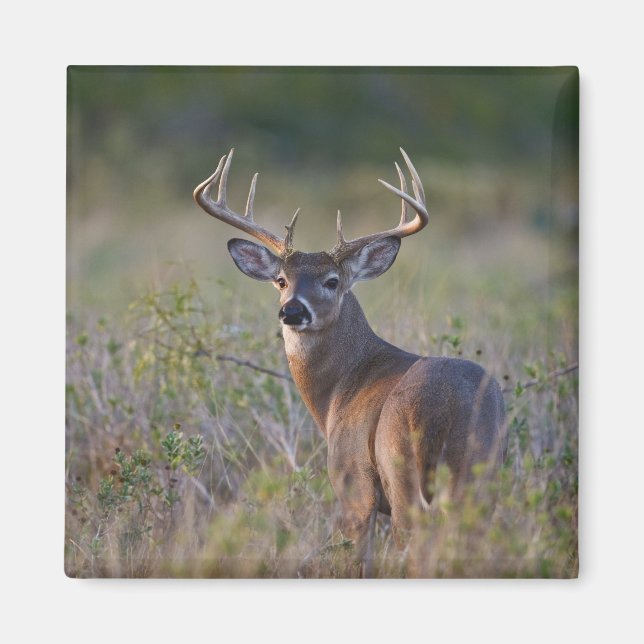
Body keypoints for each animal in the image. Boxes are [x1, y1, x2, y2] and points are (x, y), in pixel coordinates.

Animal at [193, 148, 507, 577]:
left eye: (332, 281)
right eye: (280, 280)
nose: (292, 311)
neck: (337, 392)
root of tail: (444, 407)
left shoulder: (352, 484)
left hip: (402, 474)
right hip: (480, 477)